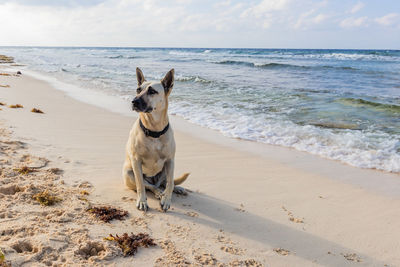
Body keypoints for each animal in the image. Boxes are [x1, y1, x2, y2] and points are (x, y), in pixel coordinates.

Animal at [122, 68, 190, 213]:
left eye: (152, 91)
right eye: (138, 89)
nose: (134, 101)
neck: (154, 131)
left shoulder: (170, 160)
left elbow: (170, 183)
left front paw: (167, 200)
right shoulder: (136, 161)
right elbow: (141, 185)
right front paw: (142, 201)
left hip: (166, 169)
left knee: (166, 182)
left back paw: (175, 189)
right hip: (129, 173)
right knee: (150, 186)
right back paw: (158, 192)